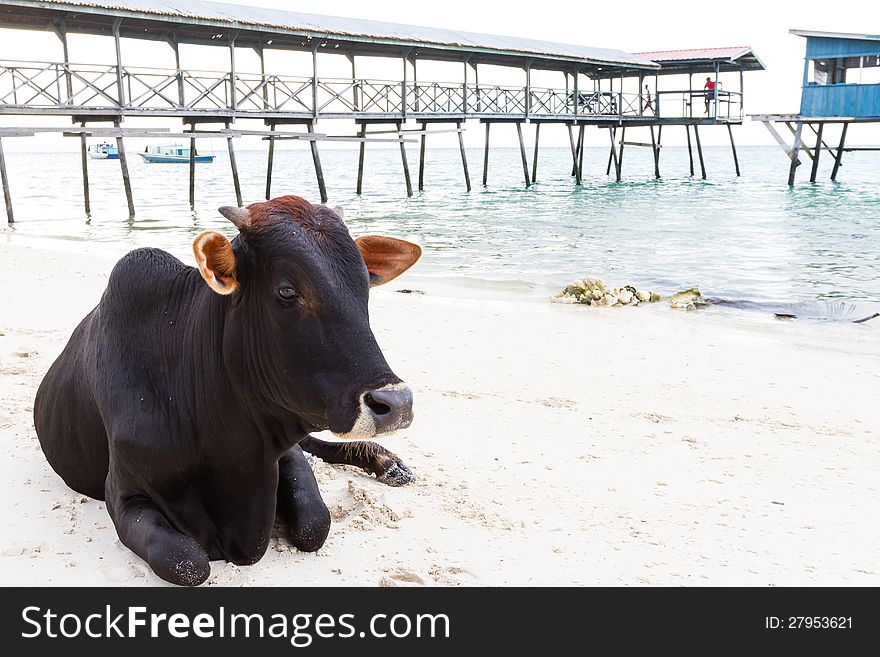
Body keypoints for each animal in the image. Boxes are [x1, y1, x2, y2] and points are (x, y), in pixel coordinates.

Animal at [33, 195, 420, 584]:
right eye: (287, 291)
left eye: (364, 286)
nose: (397, 403)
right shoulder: (124, 493)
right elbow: (189, 562)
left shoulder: (280, 448)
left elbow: (315, 524)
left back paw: (388, 463)